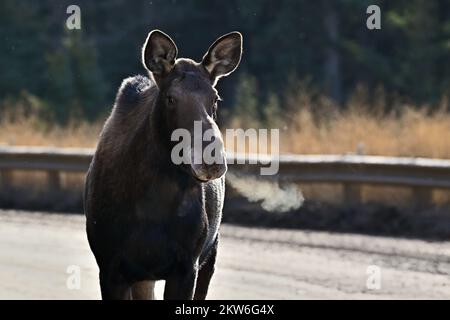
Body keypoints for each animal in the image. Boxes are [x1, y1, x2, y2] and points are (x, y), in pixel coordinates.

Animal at [84, 30, 243, 300]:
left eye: (215, 98)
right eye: (170, 98)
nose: (211, 159)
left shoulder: (187, 266)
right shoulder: (110, 267)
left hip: (210, 254)